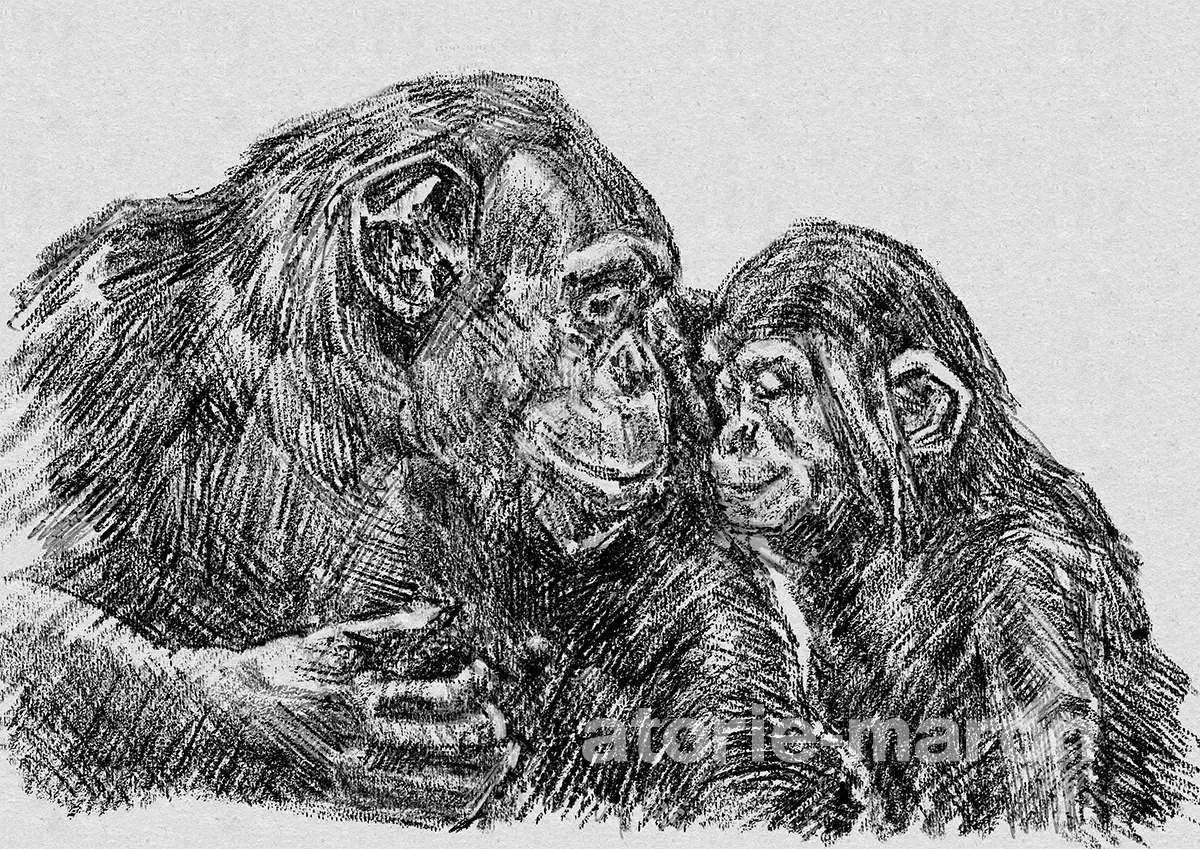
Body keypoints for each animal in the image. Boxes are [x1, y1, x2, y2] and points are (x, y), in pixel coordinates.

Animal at [700, 219, 1196, 840]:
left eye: (773, 389)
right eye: (730, 398)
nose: (735, 433)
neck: (916, 534)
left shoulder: (1028, 600)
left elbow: (1046, 804)